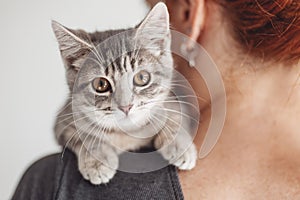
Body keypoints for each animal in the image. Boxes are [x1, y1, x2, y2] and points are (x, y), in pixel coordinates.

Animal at [51, 2, 197, 184]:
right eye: (101, 84)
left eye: (142, 78)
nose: (126, 106)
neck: (128, 133)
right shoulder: (63, 122)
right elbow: (84, 134)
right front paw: (96, 160)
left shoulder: (177, 102)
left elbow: (175, 116)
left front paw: (180, 145)